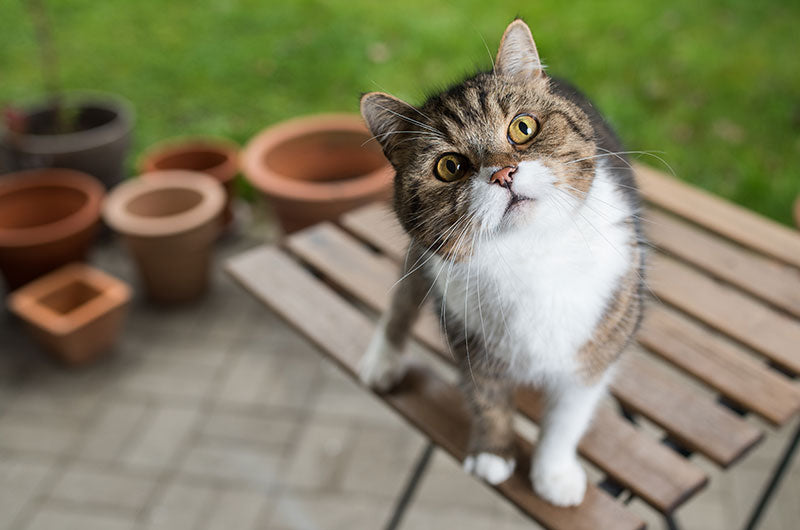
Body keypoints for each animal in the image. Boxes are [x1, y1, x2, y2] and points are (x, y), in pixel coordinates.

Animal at [356, 17, 644, 504]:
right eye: (449, 166)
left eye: (522, 128)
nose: (504, 174)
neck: (530, 253)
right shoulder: (468, 337)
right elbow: (487, 399)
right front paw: (493, 453)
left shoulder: (596, 344)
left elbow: (567, 417)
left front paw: (554, 474)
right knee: (401, 301)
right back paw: (382, 361)